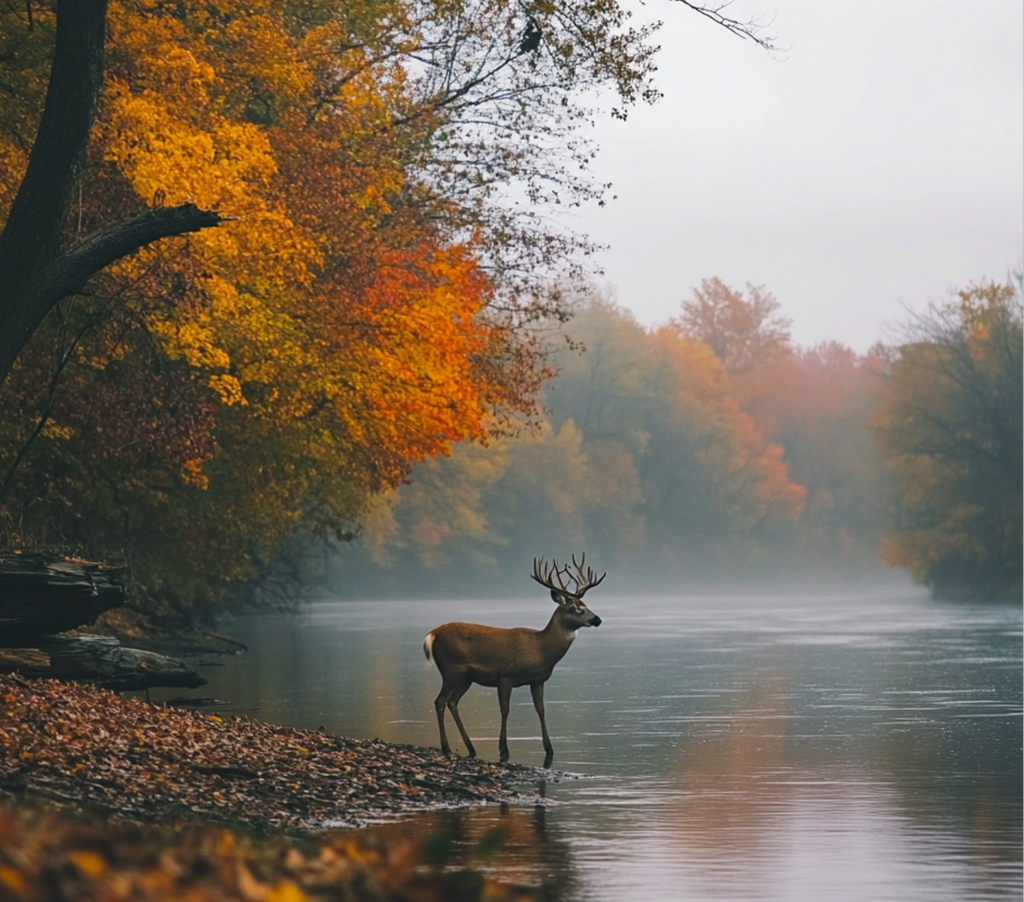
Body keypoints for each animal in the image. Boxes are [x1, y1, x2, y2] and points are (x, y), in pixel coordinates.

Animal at [423, 554, 606, 767]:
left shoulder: (538, 680)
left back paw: (470, 747)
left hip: (465, 677)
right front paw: (503, 748)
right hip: (451, 669)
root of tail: (433, 634)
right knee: (440, 701)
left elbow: (541, 709)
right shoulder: (506, 677)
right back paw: (446, 747)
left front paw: (549, 748)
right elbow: (505, 710)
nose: (597, 620)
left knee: (452, 702)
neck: (541, 648)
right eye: (575, 608)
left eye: (586, 605)